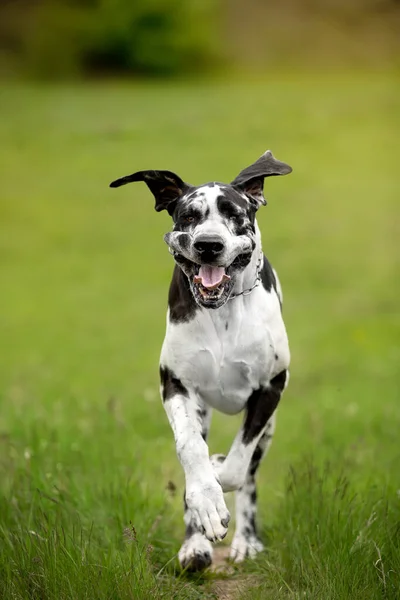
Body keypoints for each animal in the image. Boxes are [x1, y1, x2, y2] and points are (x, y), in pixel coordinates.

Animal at [111, 151, 292, 572]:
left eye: (234, 213)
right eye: (189, 215)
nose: (209, 245)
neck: (222, 312)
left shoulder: (271, 387)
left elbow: (237, 463)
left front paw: (220, 476)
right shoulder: (176, 385)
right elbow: (190, 449)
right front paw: (206, 502)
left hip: (270, 427)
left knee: (250, 477)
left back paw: (245, 541)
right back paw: (194, 544)